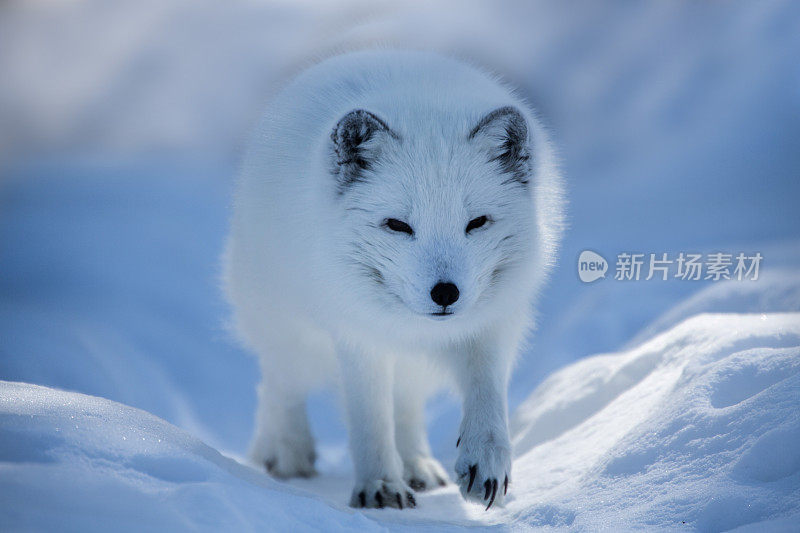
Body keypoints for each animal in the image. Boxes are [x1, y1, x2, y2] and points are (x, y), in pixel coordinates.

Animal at [222, 51, 564, 512]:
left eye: (476, 222)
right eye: (398, 225)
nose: (445, 292)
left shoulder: (494, 322)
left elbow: (488, 394)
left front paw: (485, 462)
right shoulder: (358, 335)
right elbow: (370, 419)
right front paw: (380, 487)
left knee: (407, 403)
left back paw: (418, 466)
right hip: (289, 328)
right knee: (279, 383)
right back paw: (288, 453)